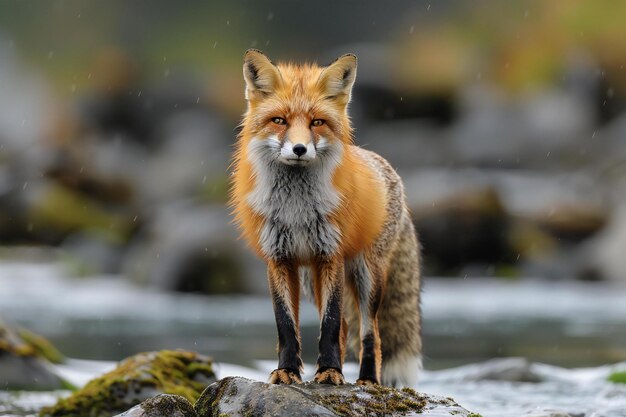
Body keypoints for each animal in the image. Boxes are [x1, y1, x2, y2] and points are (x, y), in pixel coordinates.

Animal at [228, 49, 420, 386]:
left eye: (317, 122)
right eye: (279, 121)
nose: (299, 148)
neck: (296, 211)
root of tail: (385, 166)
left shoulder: (331, 255)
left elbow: (329, 325)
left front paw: (330, 371)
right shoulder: (279, 259)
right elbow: (286, 325)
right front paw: (287, 371)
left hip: (367, 275)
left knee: (371, 333)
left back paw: (367, 380)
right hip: (312, 280)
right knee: (345, 328)